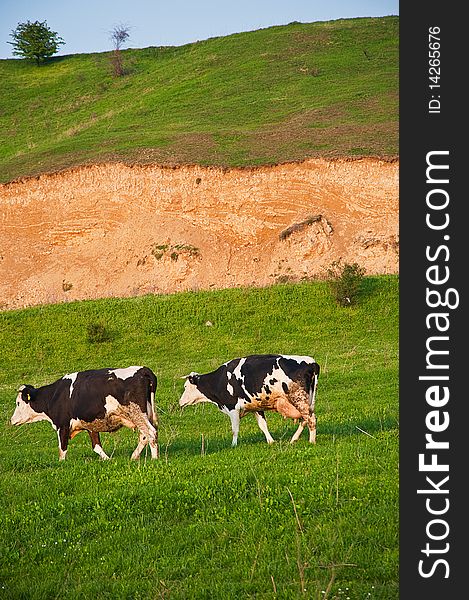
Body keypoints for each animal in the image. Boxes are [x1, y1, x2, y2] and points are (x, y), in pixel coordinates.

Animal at [9, 366, 158, 460]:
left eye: (18, 403)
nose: (11, 420)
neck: (55, 395)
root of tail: (143, 369)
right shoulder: (90, 423)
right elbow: (96, 446)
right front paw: (108, 459)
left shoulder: (62, 425)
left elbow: (62, 449)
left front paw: (62, 464)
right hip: (145, 414)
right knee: (145, 435)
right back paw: (134, 457)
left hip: (137, 413)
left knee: (151, 432)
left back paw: (154, 459)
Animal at [178, 354, 318, 448]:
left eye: (185, 387)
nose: (180, 402)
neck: (219, 381)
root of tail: (312, 363)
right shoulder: (257, 406)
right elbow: (263, 425)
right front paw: (271, 441)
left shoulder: (232, 407)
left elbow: (235, 429)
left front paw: (233, 445)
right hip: (307, 401)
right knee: (304, 420)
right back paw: (293, 439)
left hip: (299, 399)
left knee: (310, 419)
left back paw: (311, 441)